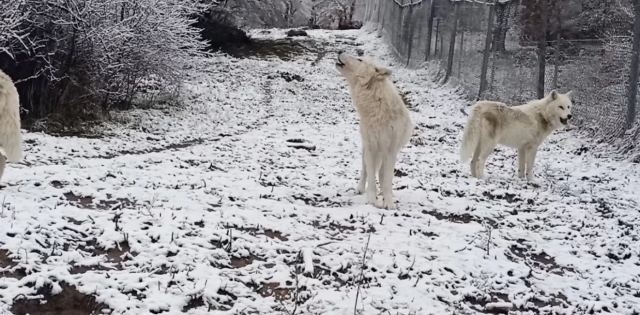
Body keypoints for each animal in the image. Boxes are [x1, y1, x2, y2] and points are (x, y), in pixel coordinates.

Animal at [336, 52, 416, 210]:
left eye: (359, 59)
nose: (340, 51)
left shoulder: (390, 151)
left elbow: (387, 179)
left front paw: (389, 202)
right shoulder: (371, 147)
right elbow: (371, 176)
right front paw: (372, 200)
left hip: (386, 153)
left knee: (383, 174)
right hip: (367, 150)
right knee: (366, 170)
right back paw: (361, 188)